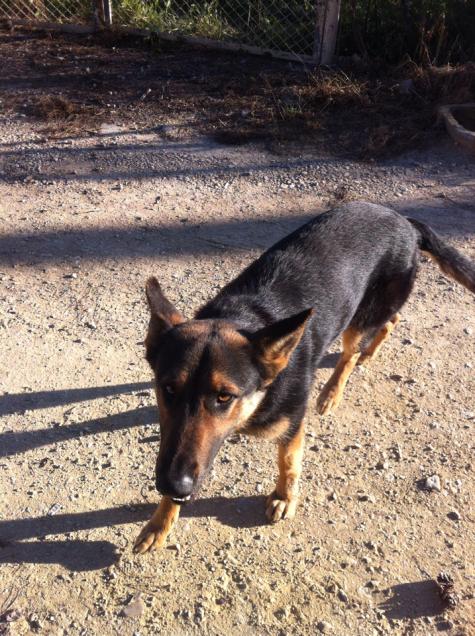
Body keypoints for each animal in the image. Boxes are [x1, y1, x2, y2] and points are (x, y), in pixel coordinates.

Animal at [134, 201, 475, 556]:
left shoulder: (293, 422)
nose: (171, 483)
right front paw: (159, 522)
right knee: (390, 322)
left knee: (351, 352)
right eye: (168, 388)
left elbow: (289, 463)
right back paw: (369, 353)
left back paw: (332, 391)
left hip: (360, 316)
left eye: (224, 396)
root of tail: (403, 220)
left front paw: (284, 497)